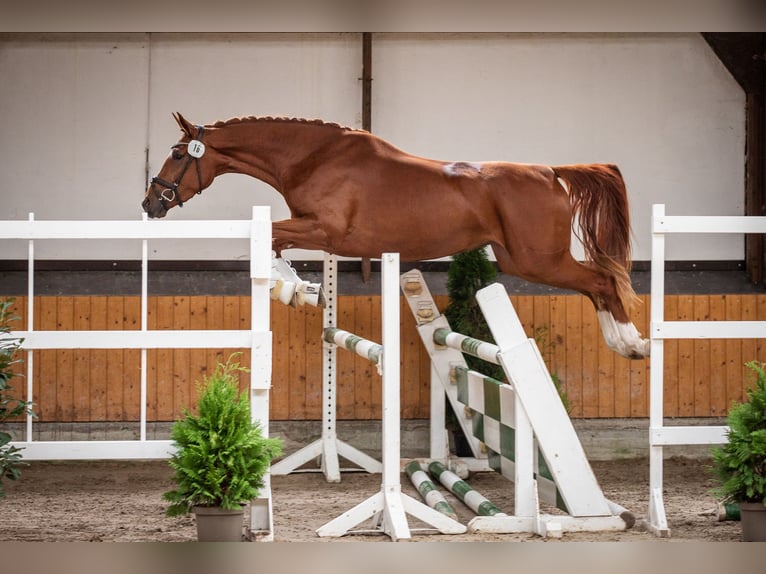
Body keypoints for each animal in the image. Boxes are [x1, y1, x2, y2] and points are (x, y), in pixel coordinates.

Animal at [142, 111, 648, 360]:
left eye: (176, 154)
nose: (151, 203)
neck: (313, 158)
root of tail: (550, 172)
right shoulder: (314, 229)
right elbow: (274, 240)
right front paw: (301, 289)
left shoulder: (325, 229)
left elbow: (268, 238)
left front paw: (292, 291)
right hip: (520, 259)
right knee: (597, 284)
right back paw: (625, 344)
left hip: (538, 259)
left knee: (602, 280)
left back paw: (631, 344)